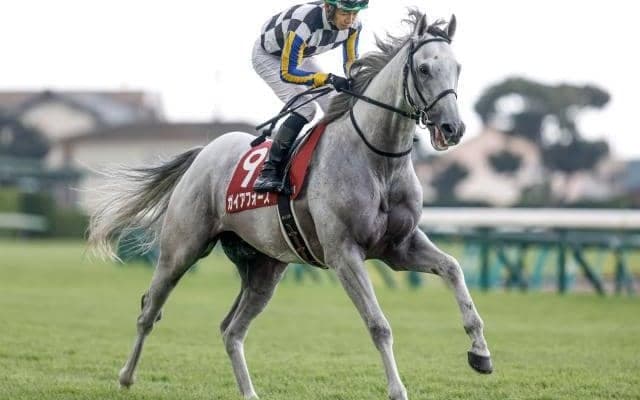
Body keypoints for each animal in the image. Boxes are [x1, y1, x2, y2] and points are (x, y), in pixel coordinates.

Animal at [88, 10, 492, 400]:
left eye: (458, 67)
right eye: (424, 69)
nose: (453, 128)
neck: (379, 161)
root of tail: (204, 152)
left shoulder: (399, 247)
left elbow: (454, 270)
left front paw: (481, 354)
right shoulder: (344, 253)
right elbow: (379, 325)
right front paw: (398, 390)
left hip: (265, 267)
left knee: (231, 329)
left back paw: (249, 393)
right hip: (181, 249)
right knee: (149, 310)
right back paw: (126, 377)